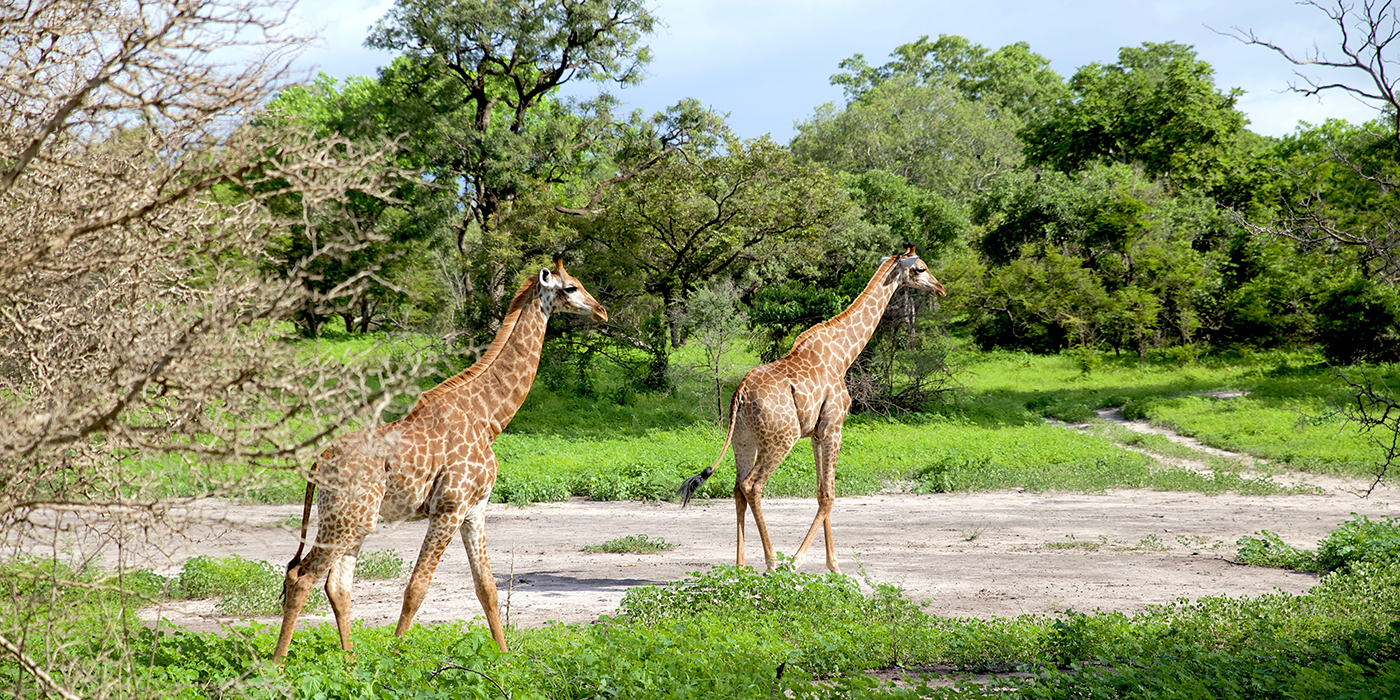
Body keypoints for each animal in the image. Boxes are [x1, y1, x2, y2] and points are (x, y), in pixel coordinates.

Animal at [272, 255, 607, 662]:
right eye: (571, 287)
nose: (602, 311)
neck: (489, 417)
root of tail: (318, 462)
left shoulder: (475, 508)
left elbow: (487, 587)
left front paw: (505, 659)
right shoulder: (449, 507)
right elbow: (416, 587)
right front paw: (397, 658)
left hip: (356, 520)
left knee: (336, 585)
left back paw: (350, 665)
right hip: (346, 518)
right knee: (302, 577)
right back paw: (277, 666)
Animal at [678, 243, 945, 573]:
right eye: (920, 268)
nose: (940, 288)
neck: (843, 355)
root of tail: (739, 394)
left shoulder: (818, 433)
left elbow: (820, 492)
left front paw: (834, 566)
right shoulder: (834, 426)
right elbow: (829, 495)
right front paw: (799, 560)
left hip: (744, 440)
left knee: (738, 487)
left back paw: (740, 568)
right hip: (780, 439)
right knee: (753, 485)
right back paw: (772, 562)